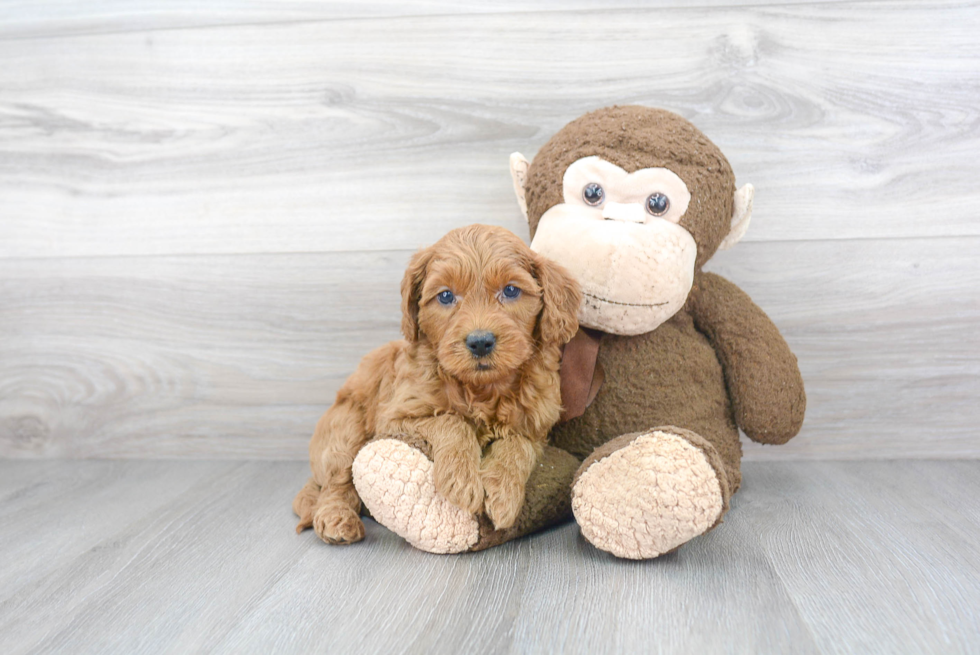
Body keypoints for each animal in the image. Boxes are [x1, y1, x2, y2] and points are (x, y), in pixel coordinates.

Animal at [290, 224, 580, 544]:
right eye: (445, 296)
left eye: (511, 290)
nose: (480, 342)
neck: (482, 388)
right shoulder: (397, 416)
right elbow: (453, 421)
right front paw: (462, 480)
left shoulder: (535, 426)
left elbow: (518, 446)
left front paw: (503, 495)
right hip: (345, 427)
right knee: (336, 483)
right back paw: (337, 519)